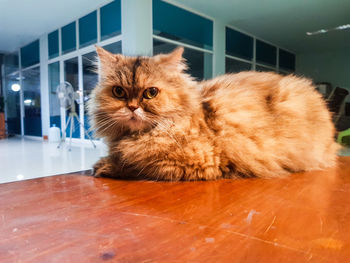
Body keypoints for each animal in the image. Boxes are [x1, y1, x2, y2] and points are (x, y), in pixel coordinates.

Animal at [89, 46, 340, 182]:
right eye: (119, 92)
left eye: (150, 93)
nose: (132, 107)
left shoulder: (196, 161)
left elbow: (134, 166)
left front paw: (104, 166)